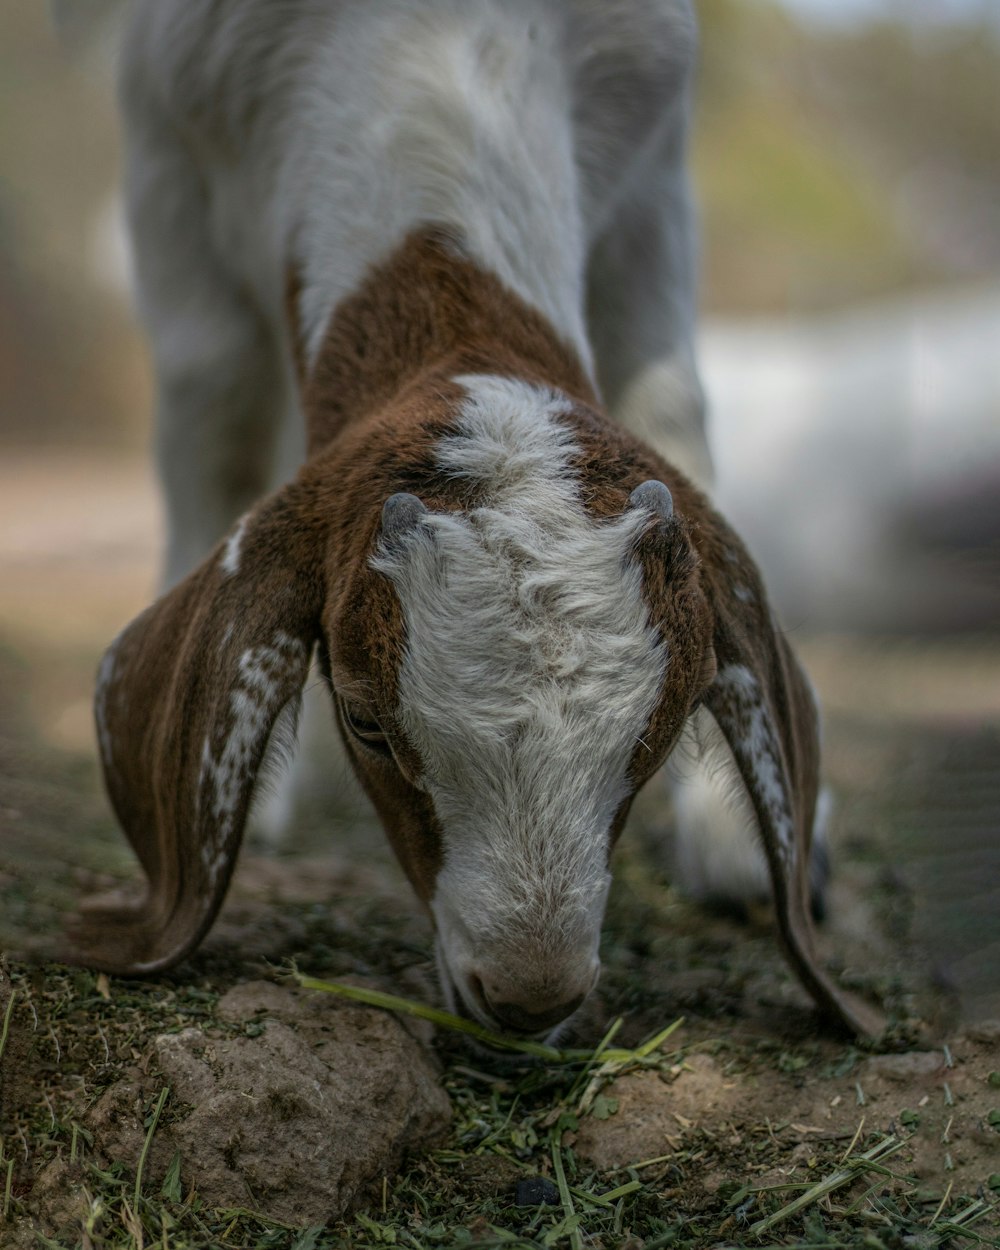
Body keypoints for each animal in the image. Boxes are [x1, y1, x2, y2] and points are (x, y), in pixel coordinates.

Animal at [72, 0, 885, 1045]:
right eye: (366, 722)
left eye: (668, 725)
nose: (528, 996)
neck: (438, 43)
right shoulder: (168, 150)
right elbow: (213, 419)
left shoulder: (656, 166)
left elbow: (673, 401)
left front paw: (737, 847)